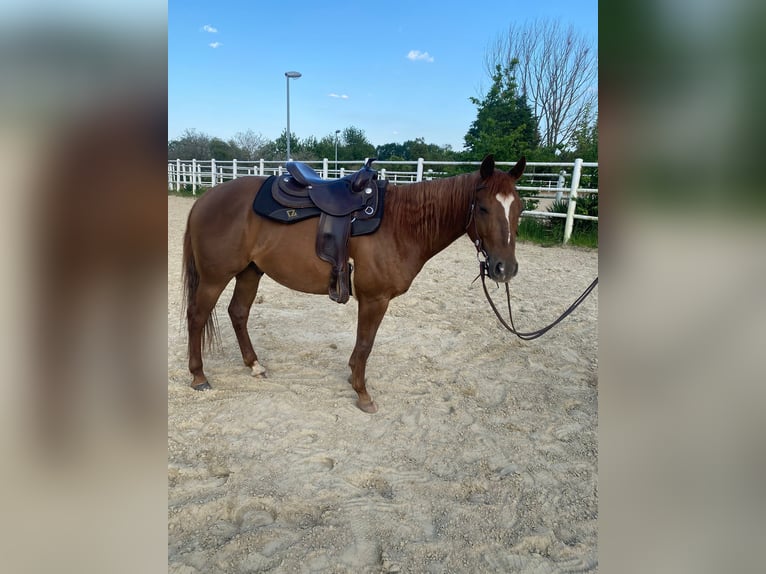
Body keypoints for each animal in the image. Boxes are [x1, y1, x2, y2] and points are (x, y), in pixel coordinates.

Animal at [183, 155, 524, 412]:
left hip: (250, 272)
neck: (400, 225)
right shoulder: (375, 299)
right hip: (215, 277)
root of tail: (205, 199)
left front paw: (353, 380)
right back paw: (199, 376)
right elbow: (364, 344)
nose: (504, 268)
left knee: (238, 313)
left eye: (519, 208)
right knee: (197, 317)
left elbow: (363, 345)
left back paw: (254, 365)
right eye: (483, 208)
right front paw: (362, 393)